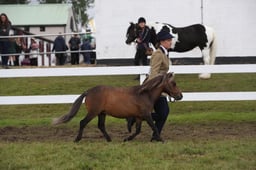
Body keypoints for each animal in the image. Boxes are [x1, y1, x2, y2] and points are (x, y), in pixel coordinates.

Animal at [52, 72, 182, 142]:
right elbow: (154, 127)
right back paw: (77, 139)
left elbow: (138, 130)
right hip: (93, 112)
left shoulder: (139, 116)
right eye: (173, 83)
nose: (180, 96)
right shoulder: (146, 115)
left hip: (102, 113)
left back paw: (109, 139)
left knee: (101, 126)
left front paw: (127, 139)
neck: (144, 94)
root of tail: (88, 92)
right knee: (83, 122)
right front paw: (161, 140)